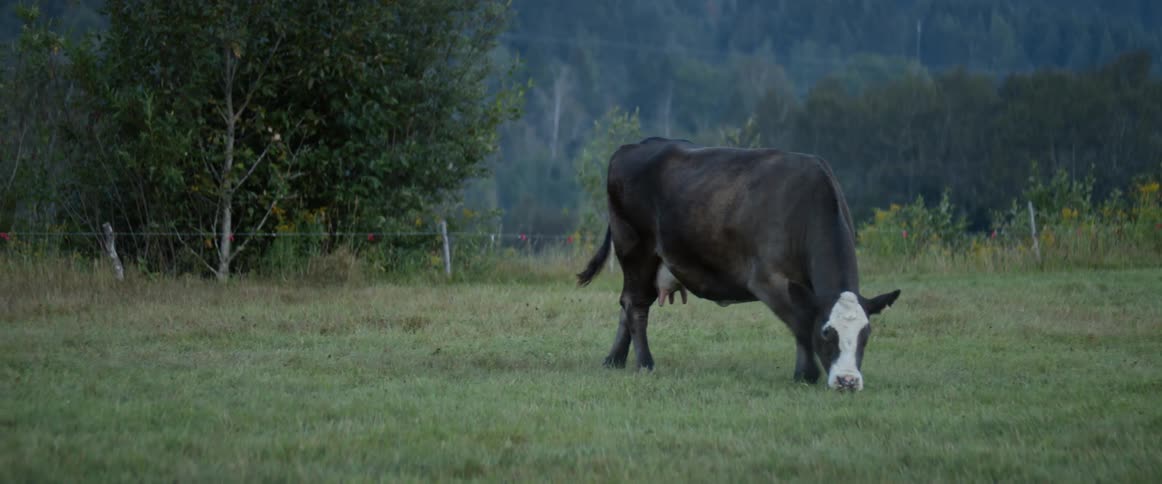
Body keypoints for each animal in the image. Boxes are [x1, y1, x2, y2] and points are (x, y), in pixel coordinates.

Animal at [576, 137, 901, 391]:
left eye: (866, 334)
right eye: (827, 332)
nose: (848, 381)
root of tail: (635, 146)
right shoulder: (768, 280)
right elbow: (801, 324)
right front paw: (806, 374)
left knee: (627, 302)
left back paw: (614, 360)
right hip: (635, 248)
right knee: (636, 306)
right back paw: (645, 363)